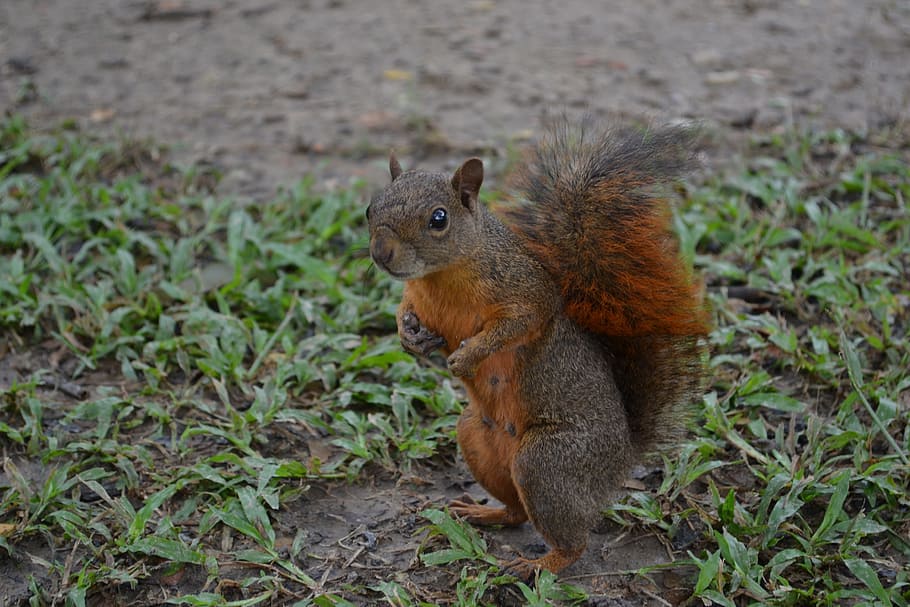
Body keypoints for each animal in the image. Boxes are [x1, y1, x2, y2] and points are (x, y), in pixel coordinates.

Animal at [366, 120, 710, 579]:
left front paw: (466, 356)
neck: (440, 277)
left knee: (573, 542)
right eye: (370, 209)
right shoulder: (415, 295)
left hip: (546, 464)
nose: (381, 253)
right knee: (517, 512)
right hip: (476, 438)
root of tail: (621, 460)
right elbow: (404, 309)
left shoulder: (526, 292)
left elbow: (516, 325)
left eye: (439, 219)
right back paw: (485, 514)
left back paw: (537, 565)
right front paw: (409, 337)